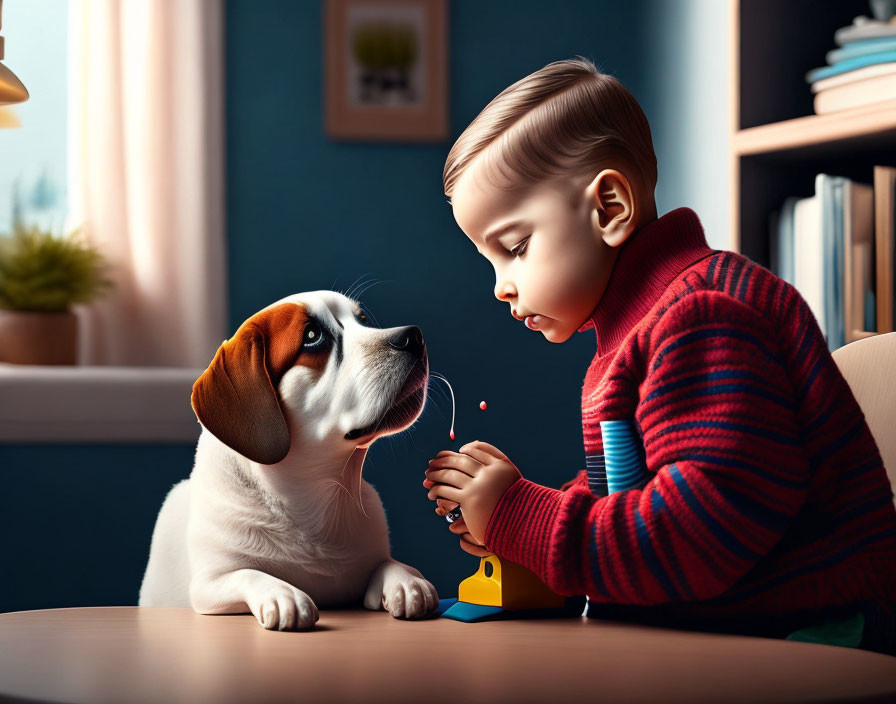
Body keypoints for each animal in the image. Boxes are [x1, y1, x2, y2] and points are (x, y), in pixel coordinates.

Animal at [136, 288, 438, 628]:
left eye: (362, 320)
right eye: (312, 336)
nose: (413, 336)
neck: (309, 499)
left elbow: (387, 564)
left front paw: (407, 581)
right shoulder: (208, 584)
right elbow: (248, 573)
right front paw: (282, 594)